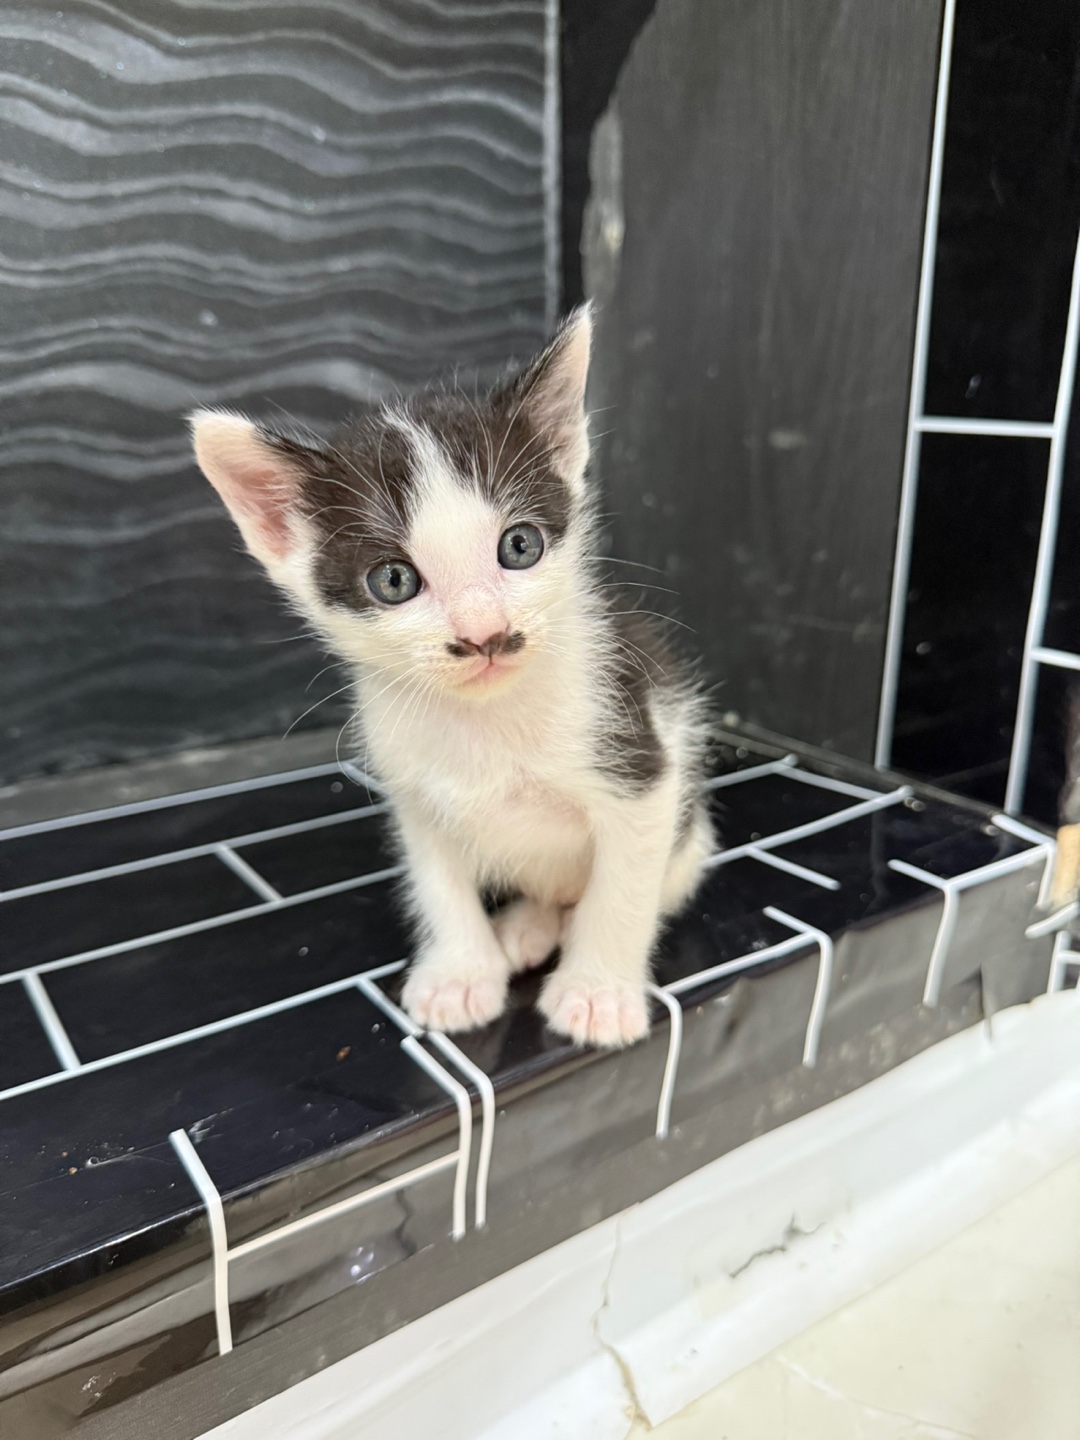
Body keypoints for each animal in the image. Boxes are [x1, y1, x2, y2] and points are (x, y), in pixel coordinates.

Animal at [190, 306, 714, 1048]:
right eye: (393, 581)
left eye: (520, 546)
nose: (483, 634)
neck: (486, 719)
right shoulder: (413, 790)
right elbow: (437, 883)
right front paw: (461, 974)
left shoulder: (640, 765)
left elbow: (621, 890)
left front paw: (597, 993)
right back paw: (523, 926)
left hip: (691, 838)